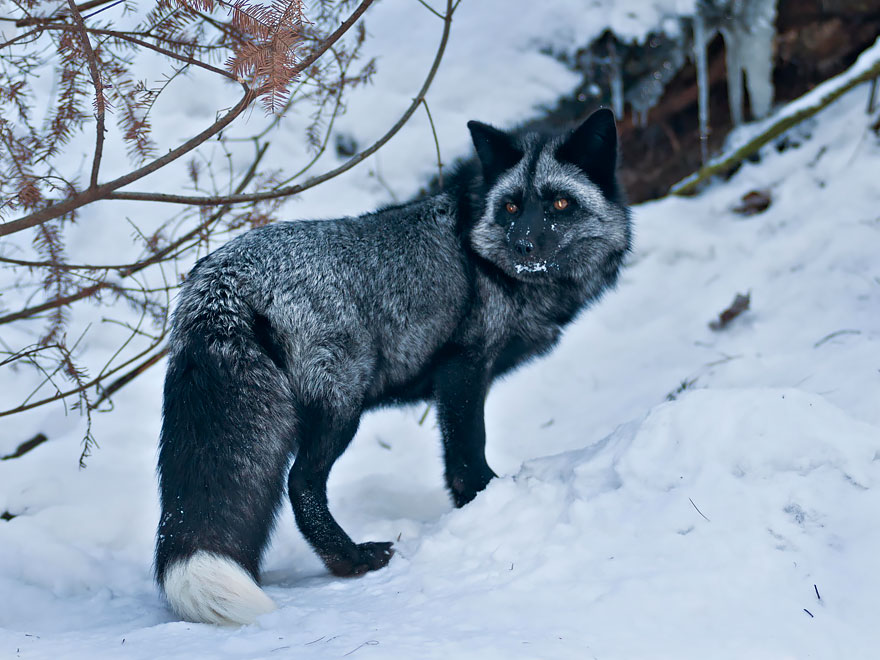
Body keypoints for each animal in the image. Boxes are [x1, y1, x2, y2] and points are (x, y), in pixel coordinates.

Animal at [155, 108, 632, 625]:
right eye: (511, 207)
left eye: (560, 203)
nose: (522, 244)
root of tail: (221, 282)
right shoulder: (463, 366)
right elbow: (467, 455)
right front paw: (485, 500)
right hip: (342, 405)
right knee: (301, 484)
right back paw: (354, 559)